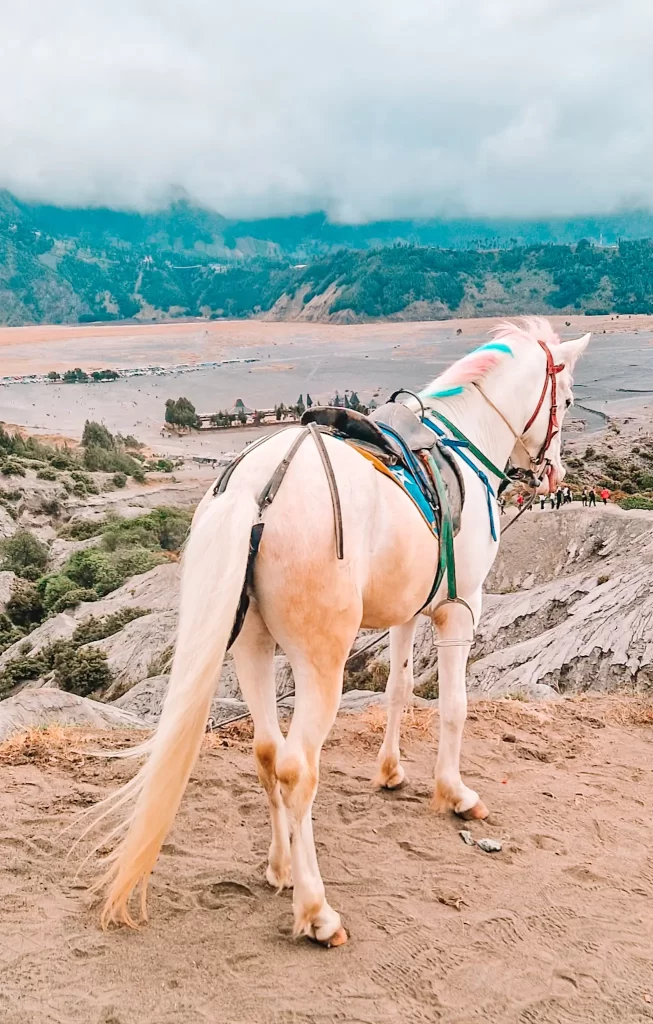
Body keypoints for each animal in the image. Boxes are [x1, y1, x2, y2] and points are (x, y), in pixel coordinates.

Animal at [93, 317, 593, 942]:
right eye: (567, 399)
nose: (555, 474)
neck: (464, 440)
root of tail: (255, 486)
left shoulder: (408, 610)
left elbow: (398, 689)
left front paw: (391, 771)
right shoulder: (461, 608)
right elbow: (454, 706)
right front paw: (454, 793)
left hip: (251, 646)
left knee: (266, 752)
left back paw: (281, 867)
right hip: (321, 662)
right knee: (296, 769)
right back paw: (315, 909)